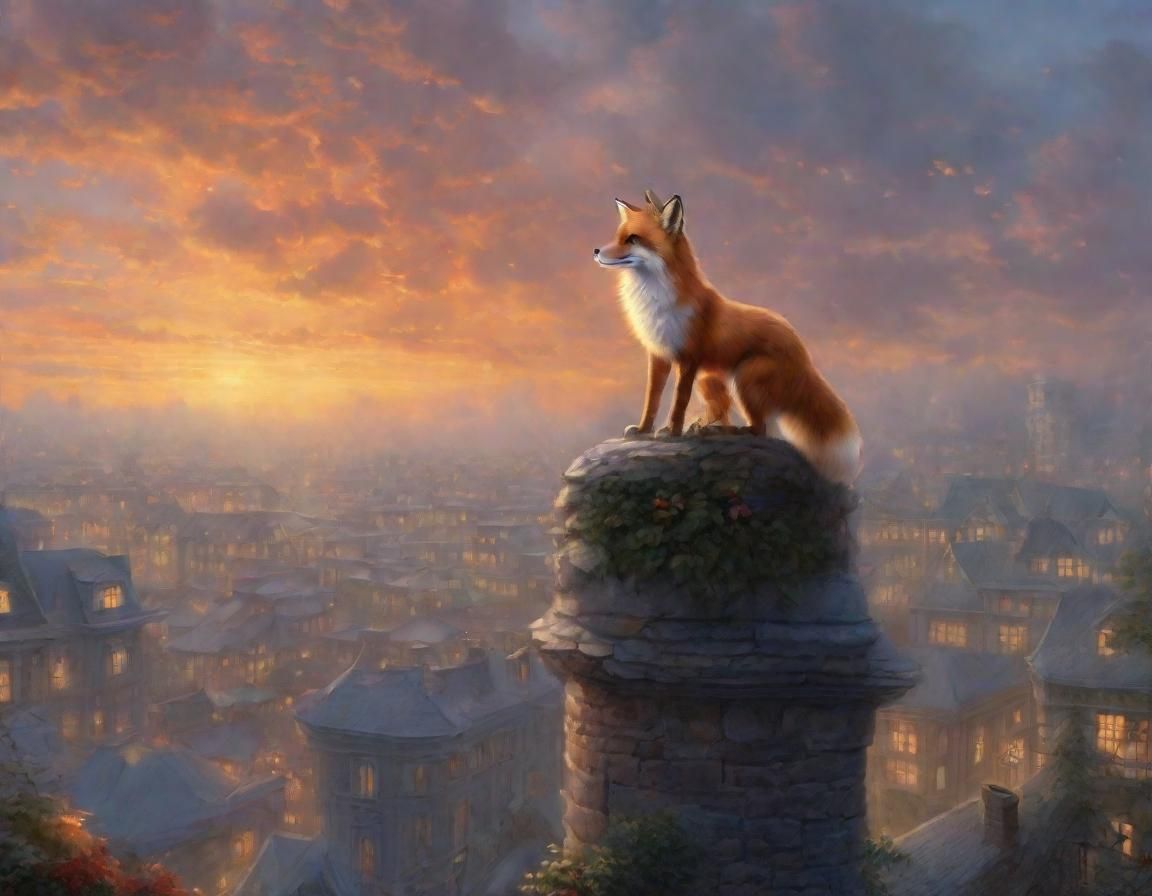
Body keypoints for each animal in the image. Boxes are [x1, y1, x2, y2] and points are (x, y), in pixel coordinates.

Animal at [593, 190, 862, 486]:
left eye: (632, 239)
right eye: (618, 236)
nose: (596, 251)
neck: (656, 298)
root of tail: (804, 356)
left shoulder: (689, 359)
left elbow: (678, 401)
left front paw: (672, 431)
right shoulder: (659, 355)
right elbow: (652, 399)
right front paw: (644, 429)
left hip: (744, 378)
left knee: (759, 429)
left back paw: (719, 432)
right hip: (710, 380)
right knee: (727, 413)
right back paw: (704, 429)